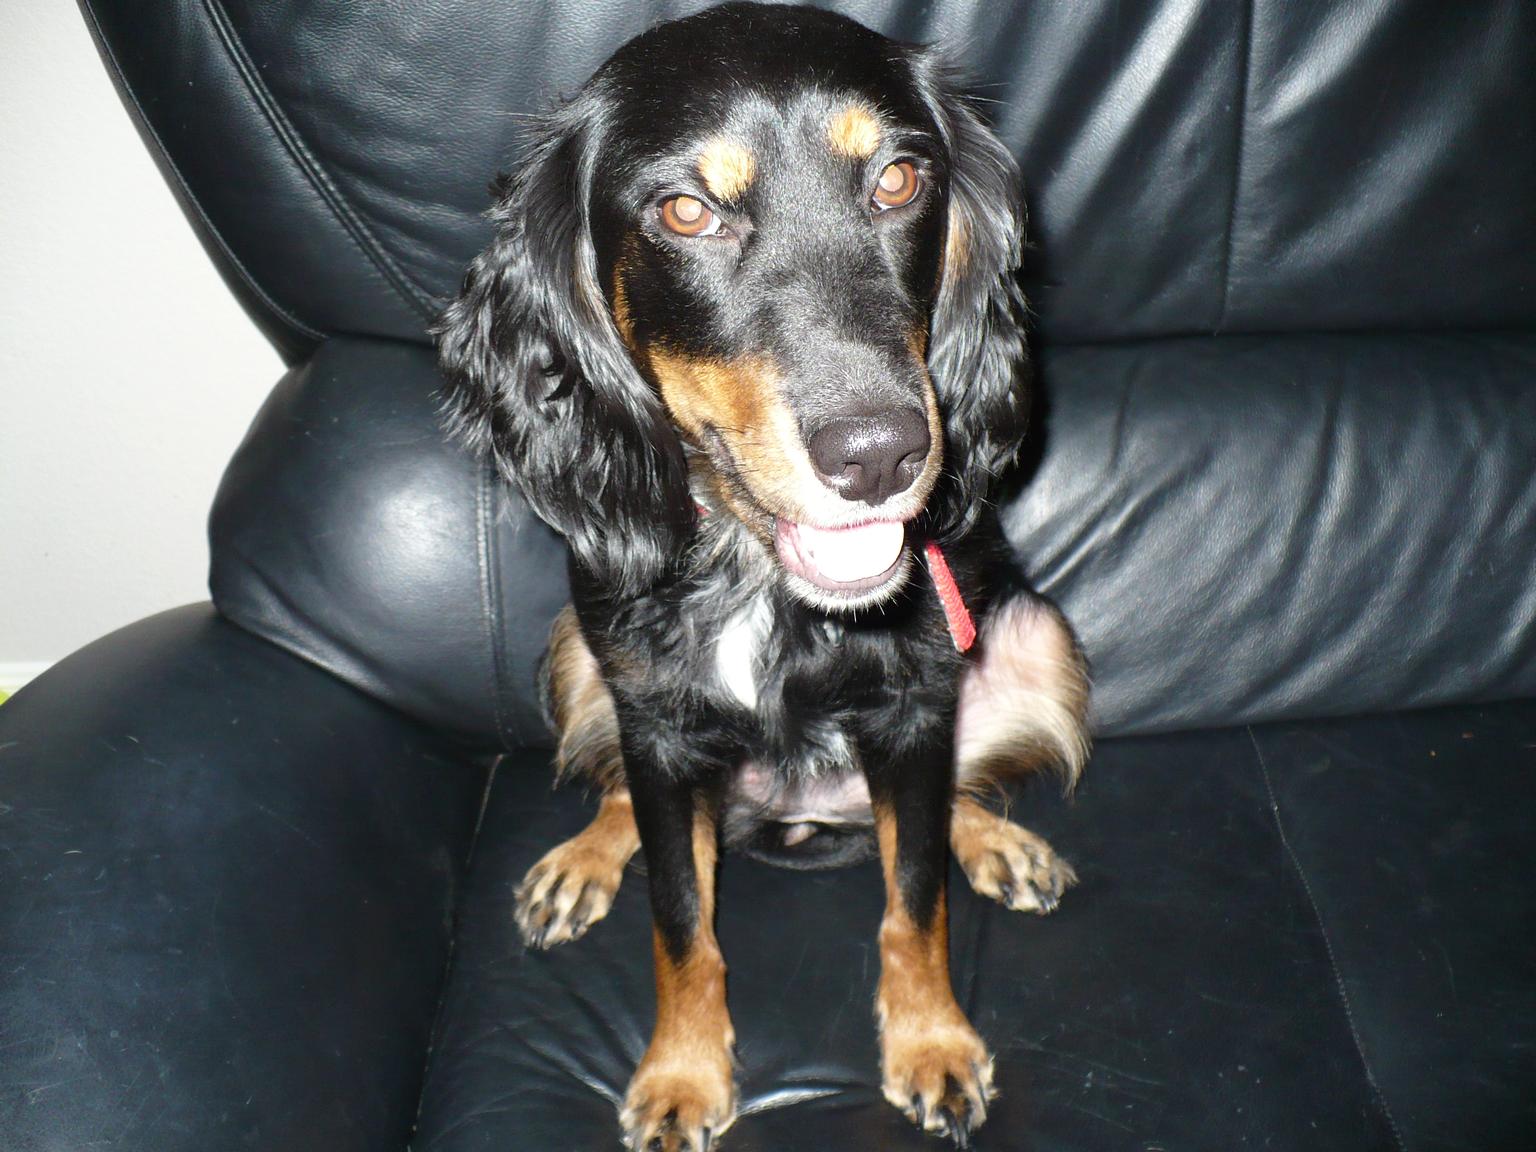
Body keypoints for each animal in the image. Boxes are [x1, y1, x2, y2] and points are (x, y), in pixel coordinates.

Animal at [439, 6, 1093, 1148]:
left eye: (899, 181)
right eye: (686, 211)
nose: (880, 453)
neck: (757, 574)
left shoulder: (915, 704)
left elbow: (914, 895)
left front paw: (931, 1041)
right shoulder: (657, 719)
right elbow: (680, 918)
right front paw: (684, 1072)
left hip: (1035, 638)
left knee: (942, 802)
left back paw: (992, 840)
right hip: (578, 653)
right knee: (629, 795)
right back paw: (587, 855)